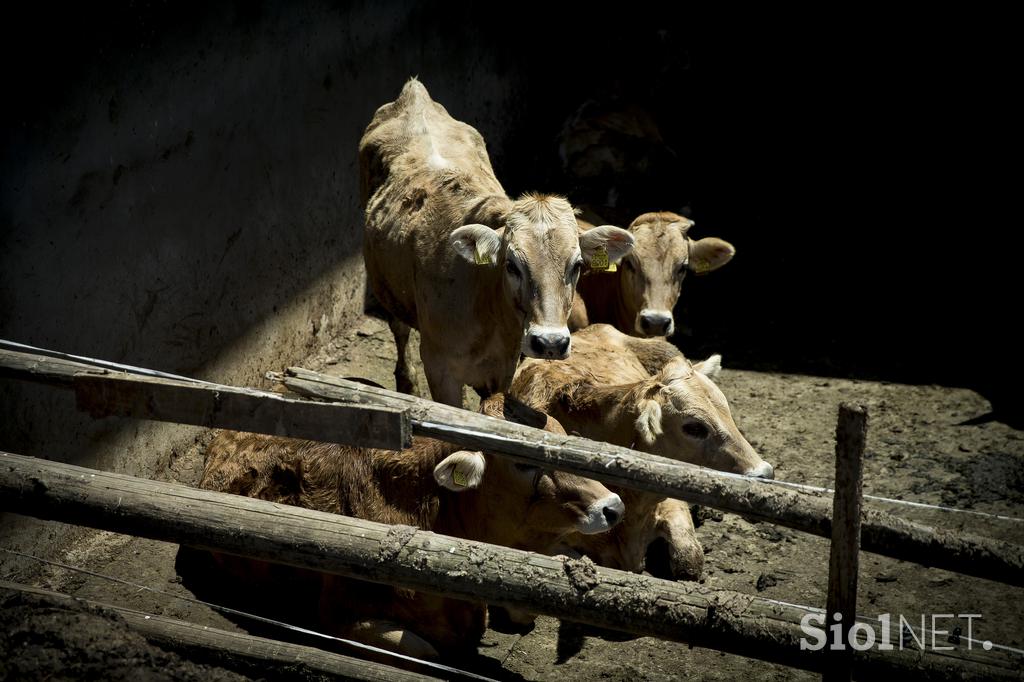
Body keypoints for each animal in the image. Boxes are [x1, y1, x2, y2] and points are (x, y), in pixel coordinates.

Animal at [360, 82, 630, 405]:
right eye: (511, 265)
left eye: (577, 265)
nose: (550, 342)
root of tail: (415, 94)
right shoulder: (440, 369)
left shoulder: (504, 369)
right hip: (386, 285)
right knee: (399, 329)